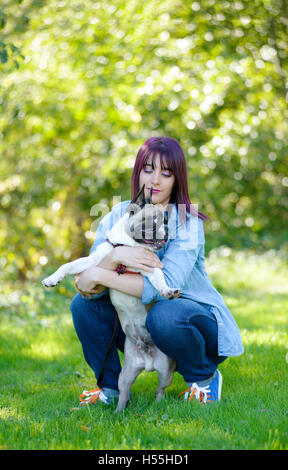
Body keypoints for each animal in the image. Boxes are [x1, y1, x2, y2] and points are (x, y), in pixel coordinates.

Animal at [41, 185, 179, 412]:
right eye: (154, 221)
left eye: (166, 220)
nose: (167, 229)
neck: (128, 246)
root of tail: (147, 360)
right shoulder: (93, 262)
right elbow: (68, 265)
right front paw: (52, 279)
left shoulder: (149, 268)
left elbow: (159, 279)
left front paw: (167, 290)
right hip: (126, 374)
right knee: (124, 392)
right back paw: (119, 411)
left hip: (166, 370)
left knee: (160, 390)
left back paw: (157, 406)